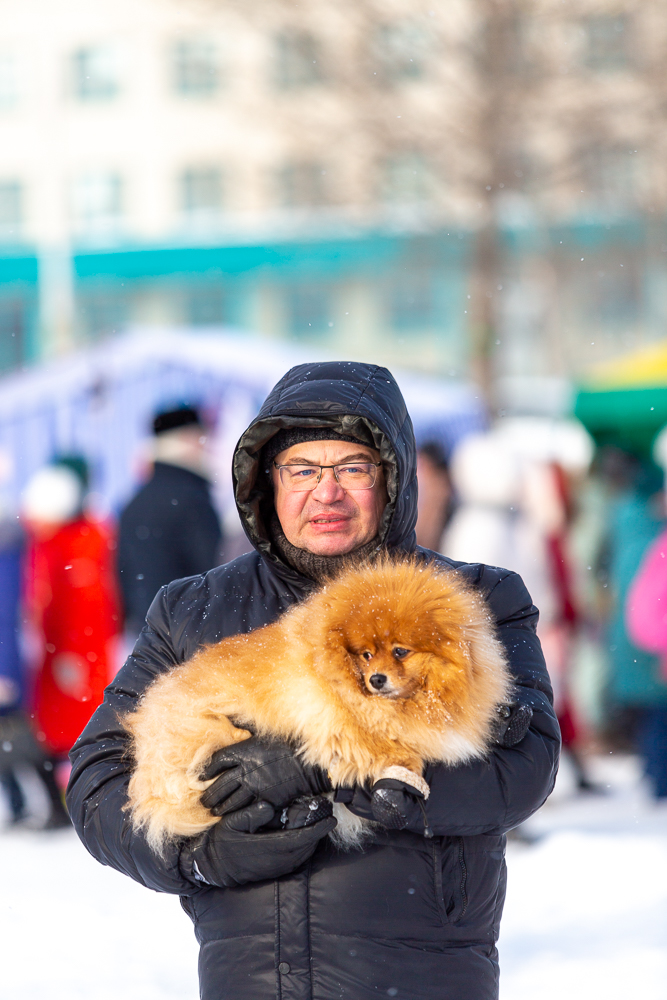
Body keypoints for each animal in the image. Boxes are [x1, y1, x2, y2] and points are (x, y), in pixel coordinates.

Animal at [124, 556, 512, 852]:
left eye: (400, 651)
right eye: (366, 655)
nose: (376, 679)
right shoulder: (336, 723)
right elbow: (378, 746)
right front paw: (404, 770)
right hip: (209, 737)